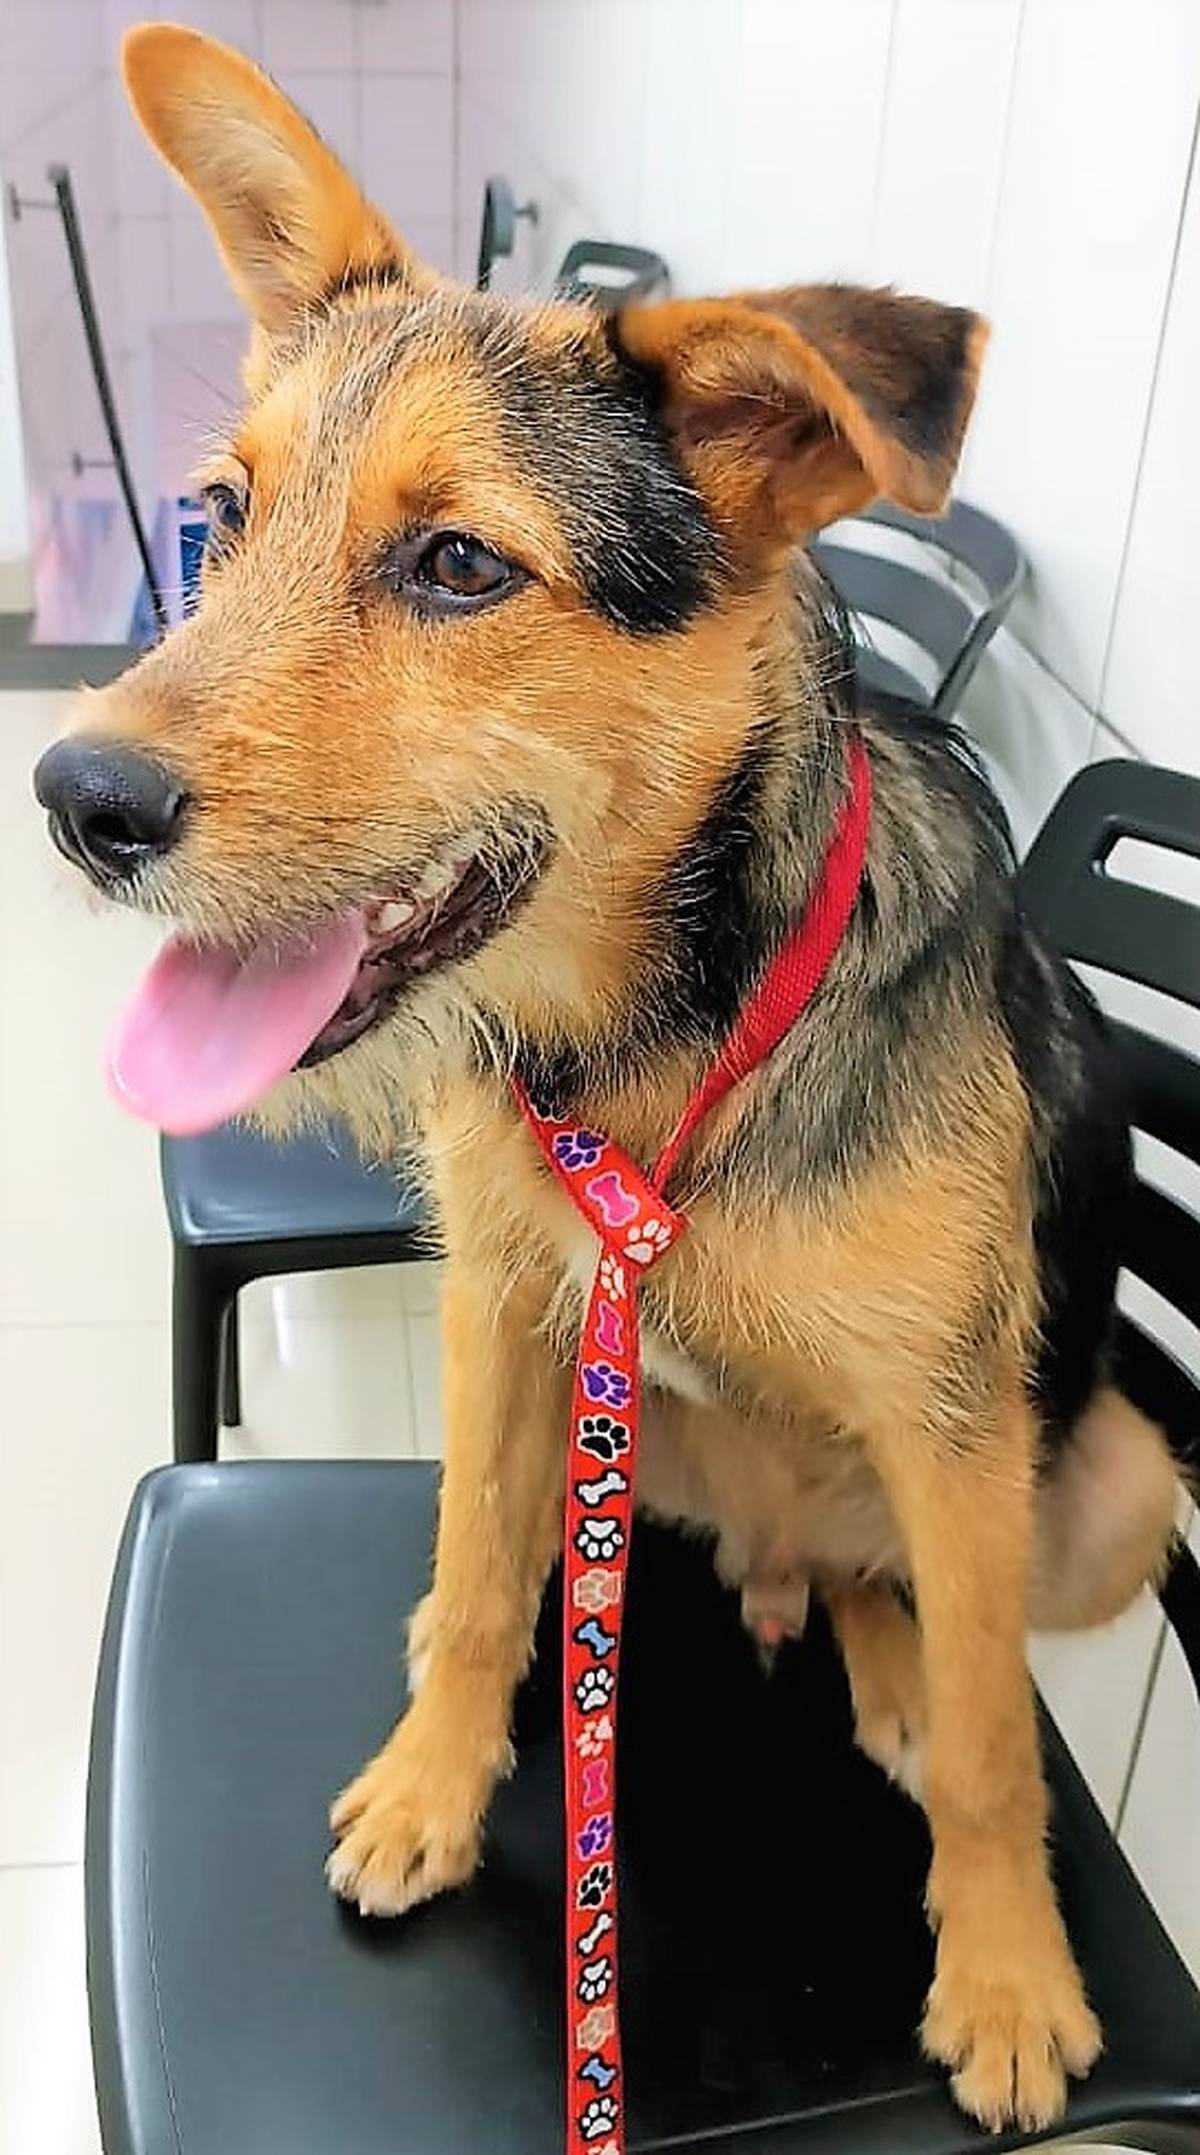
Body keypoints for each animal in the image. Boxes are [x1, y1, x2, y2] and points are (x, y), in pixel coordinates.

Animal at [34, 26, 1184, 2134]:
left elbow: (1002, 1753)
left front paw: (1005, 1981)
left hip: (1109, 1477)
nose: (76, 800)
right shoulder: (509, 1288)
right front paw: (431, 1777)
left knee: (928, 1604)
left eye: (461, 563)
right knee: (585, 1544)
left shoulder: (957, 1416)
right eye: (219, 519)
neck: (666, 1043)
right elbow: (497, 1574)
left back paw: (893, 1670)